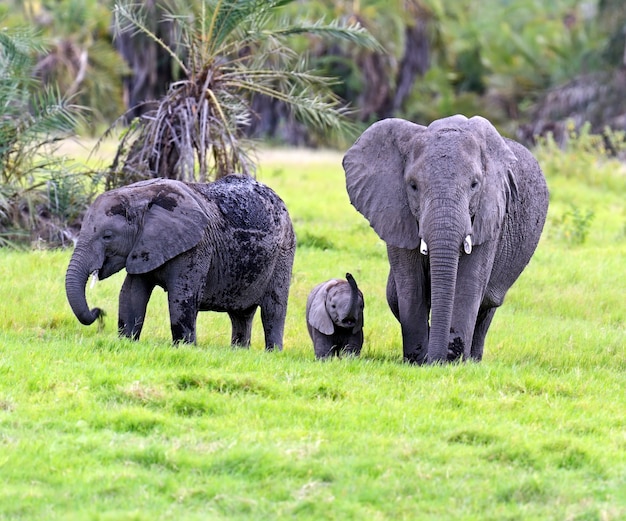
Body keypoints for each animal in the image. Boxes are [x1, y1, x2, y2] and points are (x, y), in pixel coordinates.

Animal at [66, 175, 294, 350]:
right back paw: (239, 352)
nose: (99, 312)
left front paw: (185, 349)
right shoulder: (143, 247)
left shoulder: (196, 247)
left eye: (107, 236)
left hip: (284, 251)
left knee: (273, 309)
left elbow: (182, 297)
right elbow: (131, 295)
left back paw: (272, 353)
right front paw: (127, 343)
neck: (140, 197)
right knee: (240, 314)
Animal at [342, 116, 544, 364]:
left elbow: (469, 284)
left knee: (487, 305)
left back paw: (472, 361)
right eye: (413, 186)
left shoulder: (491, 213)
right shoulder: (396, 211)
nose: (435, 361)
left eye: (475, 185)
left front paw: (451, 362)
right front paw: (418, 361)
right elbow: (411, 284)